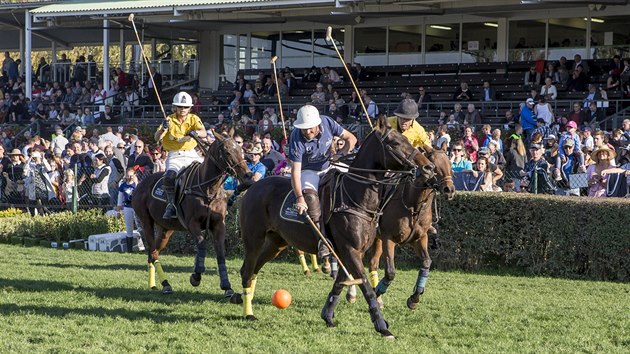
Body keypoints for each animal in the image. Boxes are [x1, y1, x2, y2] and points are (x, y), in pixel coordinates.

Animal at [132, 133, 251, 296]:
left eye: (240, 149)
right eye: (227, 152)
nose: (247, 175)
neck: (208, 189)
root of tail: (140, 185)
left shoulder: (218, 224)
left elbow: (220, 252)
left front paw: (227, 286)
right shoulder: (192, 223)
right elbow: (201, 244)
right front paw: (196, 276)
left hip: (166, 229)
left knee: (152, 252)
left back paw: (155, 285)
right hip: (146, 221)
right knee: (154, 252)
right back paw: (166, 284)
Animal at [236, 115, 434, 338]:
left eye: (408, 139)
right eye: (395, 143)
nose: (428, 168)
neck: (357, 196)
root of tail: (253, 185)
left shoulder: (350, 251)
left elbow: (340, 283)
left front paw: (328, 316)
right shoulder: (351, 249)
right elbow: (365, 285)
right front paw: (382, 326)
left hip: (276, 242)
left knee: (254, 269)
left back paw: (248, 302)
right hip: (254, 239)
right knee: (247, 271)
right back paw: (249, 313)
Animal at [368, 149, 456, 310]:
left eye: (449, 164)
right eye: (434, 166)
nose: (449, 189)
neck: (413, 205)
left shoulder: (420, 238)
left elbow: (426, 262)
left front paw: (414, 298)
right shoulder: (388, 238)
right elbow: (390, 272)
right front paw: (376, 294)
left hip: (376, 238)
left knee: (373, 263)